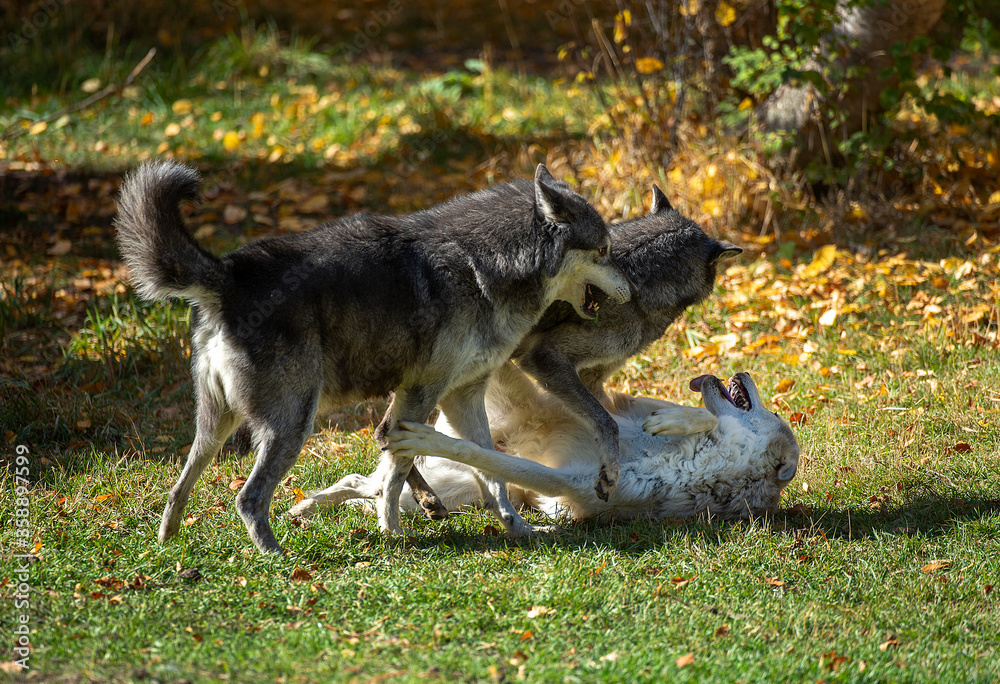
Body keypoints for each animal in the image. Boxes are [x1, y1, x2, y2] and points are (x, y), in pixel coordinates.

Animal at [115, 161, 631, 553]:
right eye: (604, 249)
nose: (631, 288)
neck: (484, 265)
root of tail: (228, 275)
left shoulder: (460, 399)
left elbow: (492, 473)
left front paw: (518, 529)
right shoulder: (422, 393)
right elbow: (397, 472)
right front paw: (392, 530)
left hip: (215, 428)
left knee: (180, 486)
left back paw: (167, 541)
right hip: (292, 425)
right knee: (249, 498)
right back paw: (277, 557)